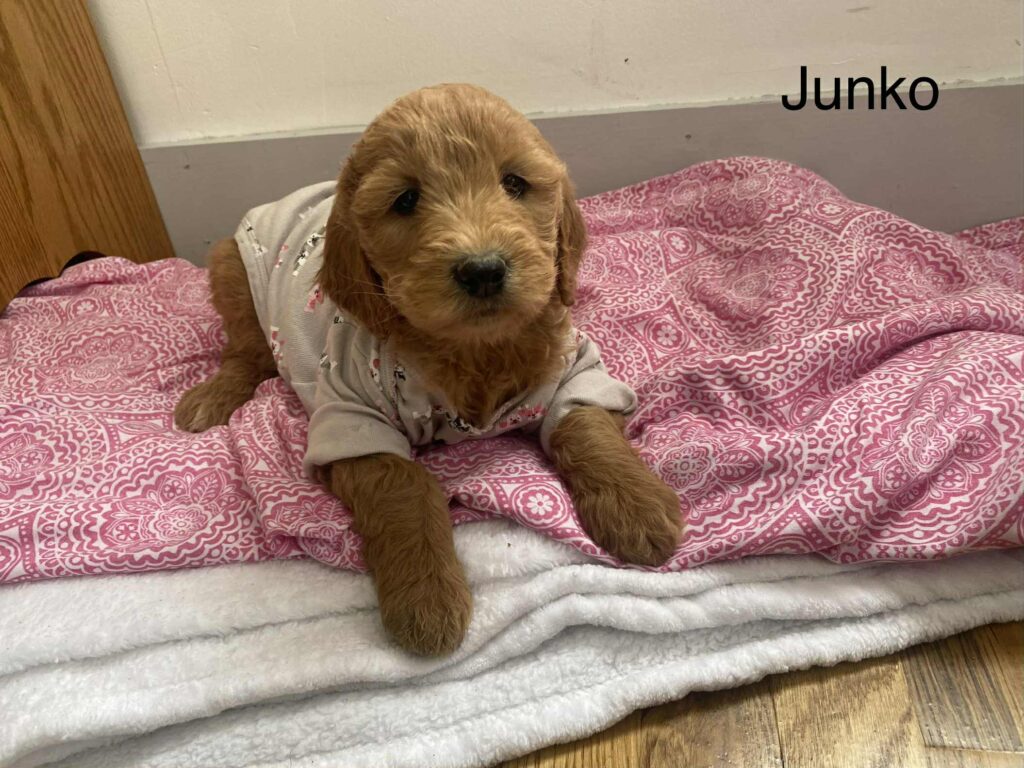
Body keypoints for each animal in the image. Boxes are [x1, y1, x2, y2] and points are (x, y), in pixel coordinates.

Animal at [175, 84, 682, 656]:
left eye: (514, 183)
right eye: (405, 200)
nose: (483, 270)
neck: (474, 350)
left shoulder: (578, 367)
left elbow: (586, 425)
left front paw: (637, 508)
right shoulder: (352, 414)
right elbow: (404, 490)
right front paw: (426, 598)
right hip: (233, 268)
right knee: (246, 351)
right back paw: (211, 398)